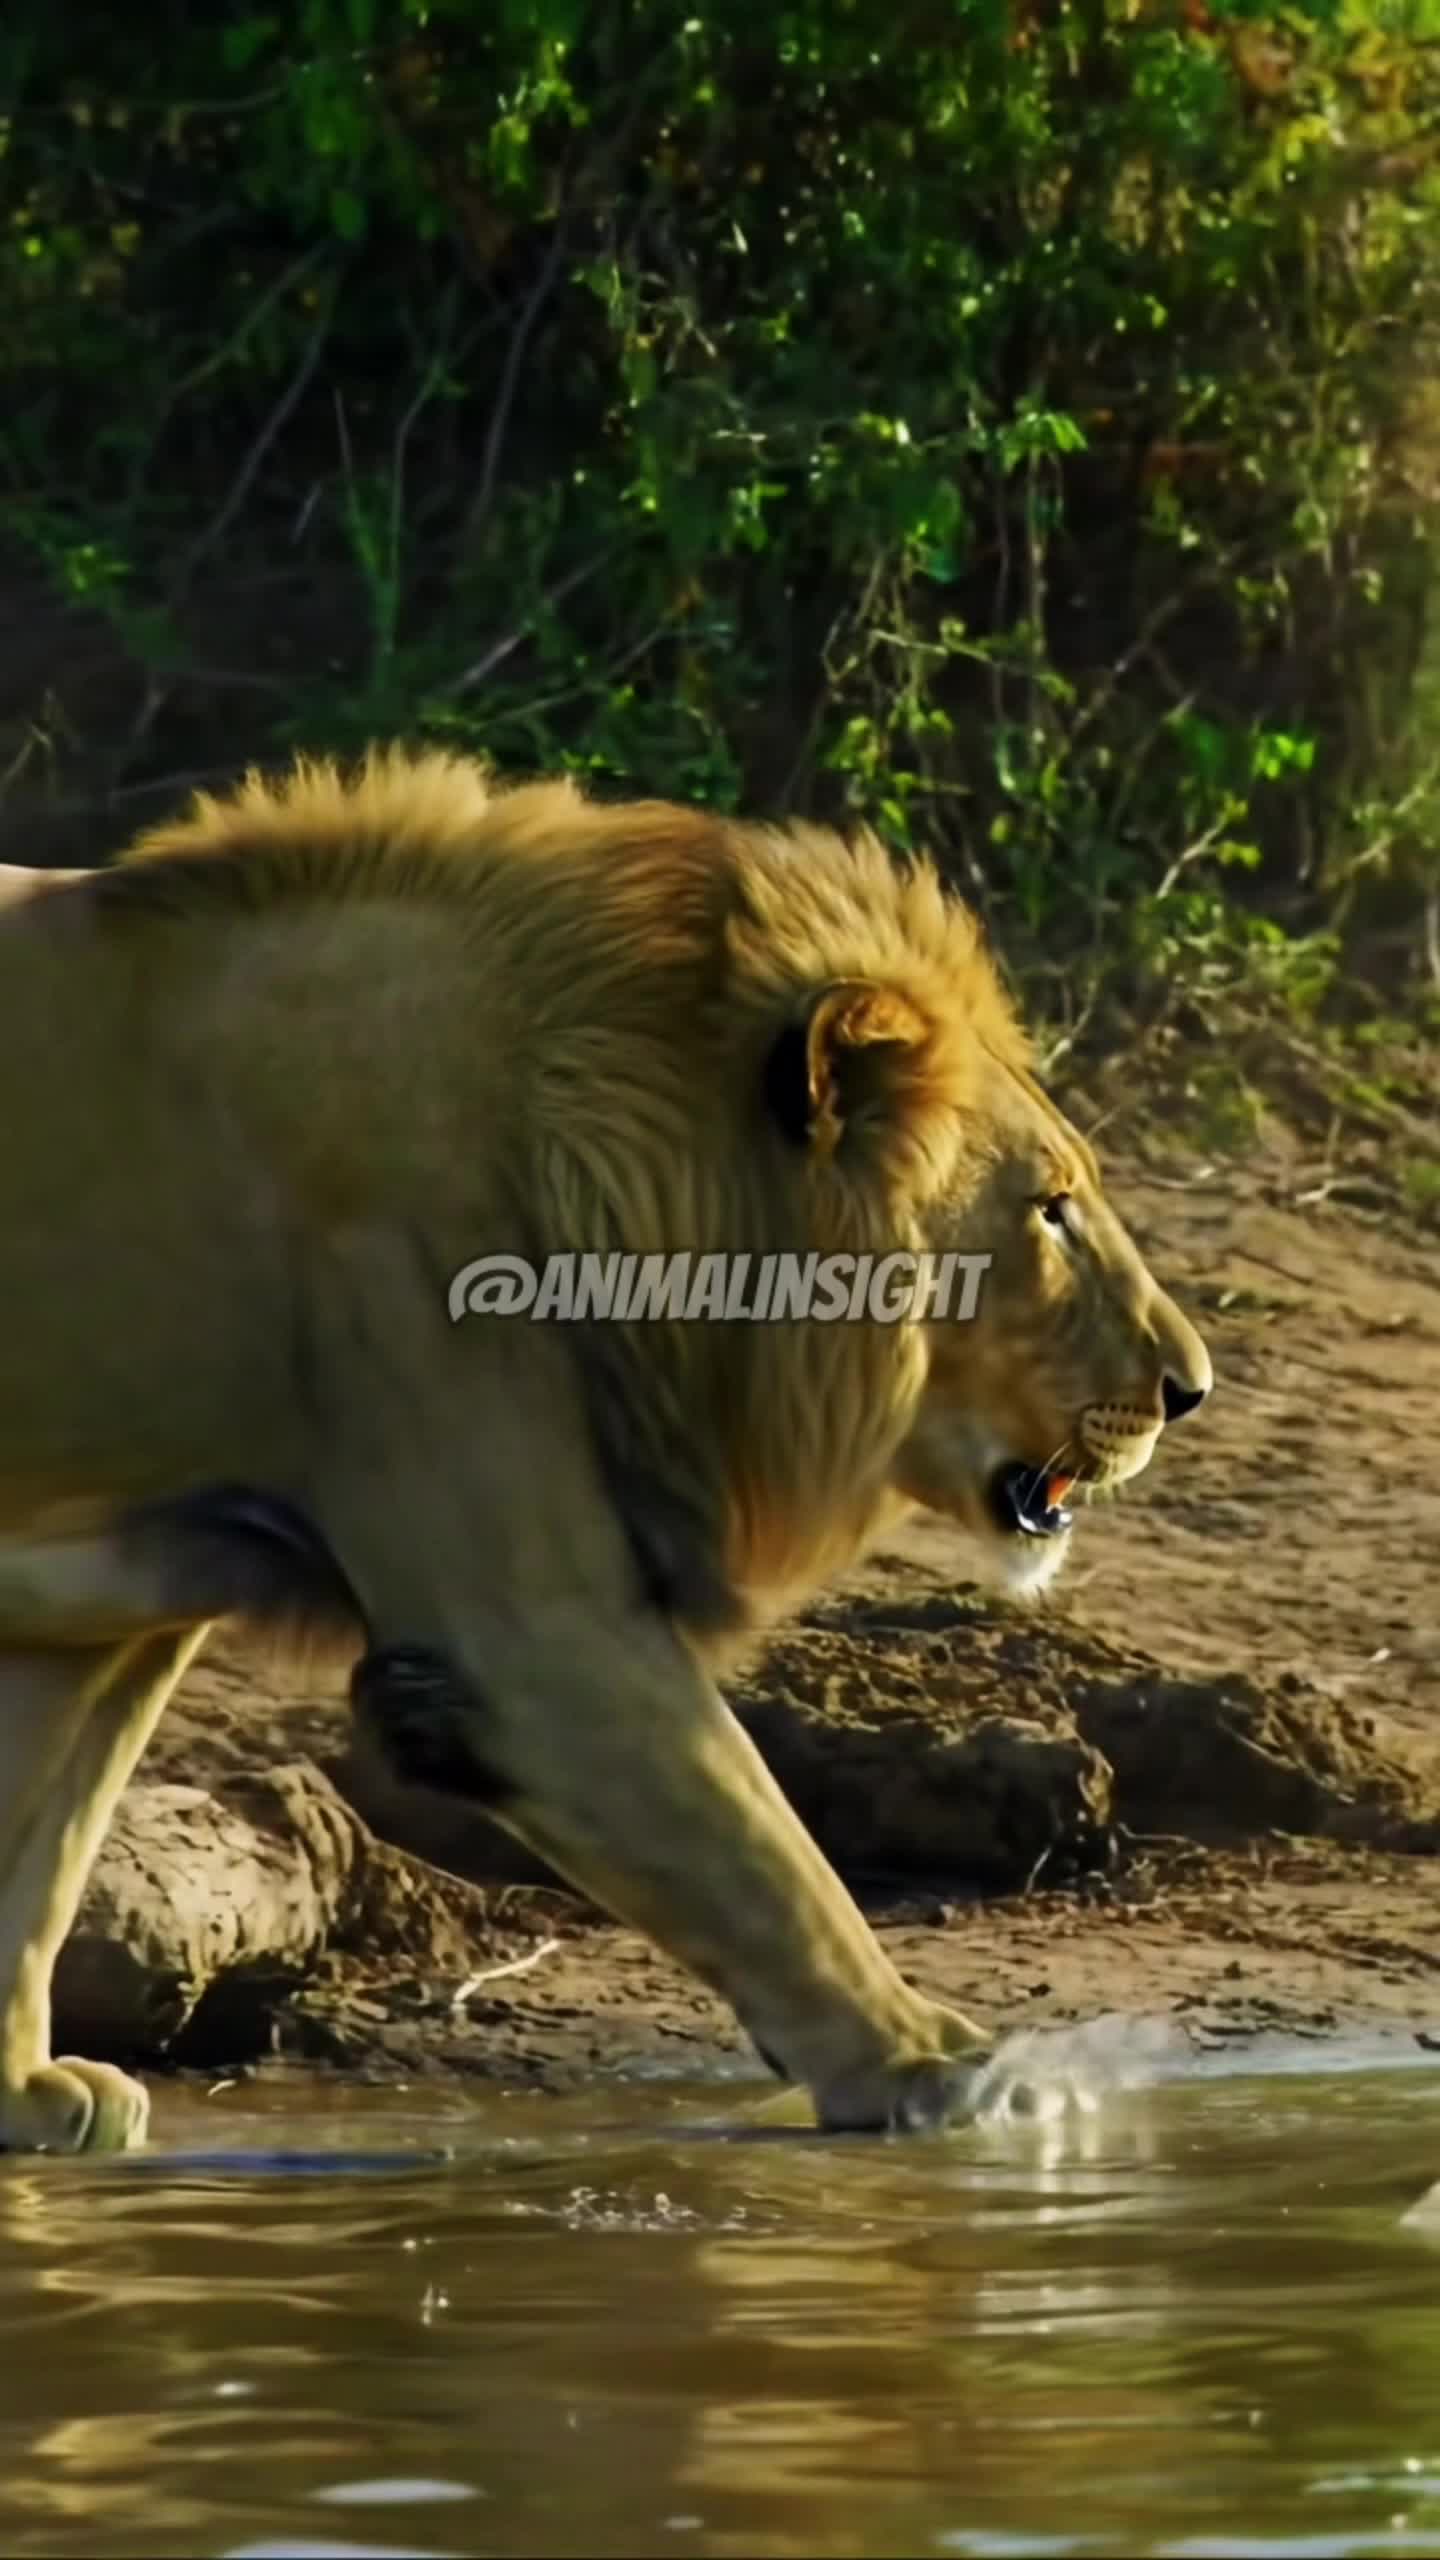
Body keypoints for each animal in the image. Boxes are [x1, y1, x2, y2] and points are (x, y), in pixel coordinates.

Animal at [0, 750, 1210, 2151]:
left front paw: (21, 2090)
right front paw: (945, 2065)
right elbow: (764, 1853)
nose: (1191, 1387)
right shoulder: (533, 1634)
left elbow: (34, 1845)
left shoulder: (126, 1586)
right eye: (1052, 1209)